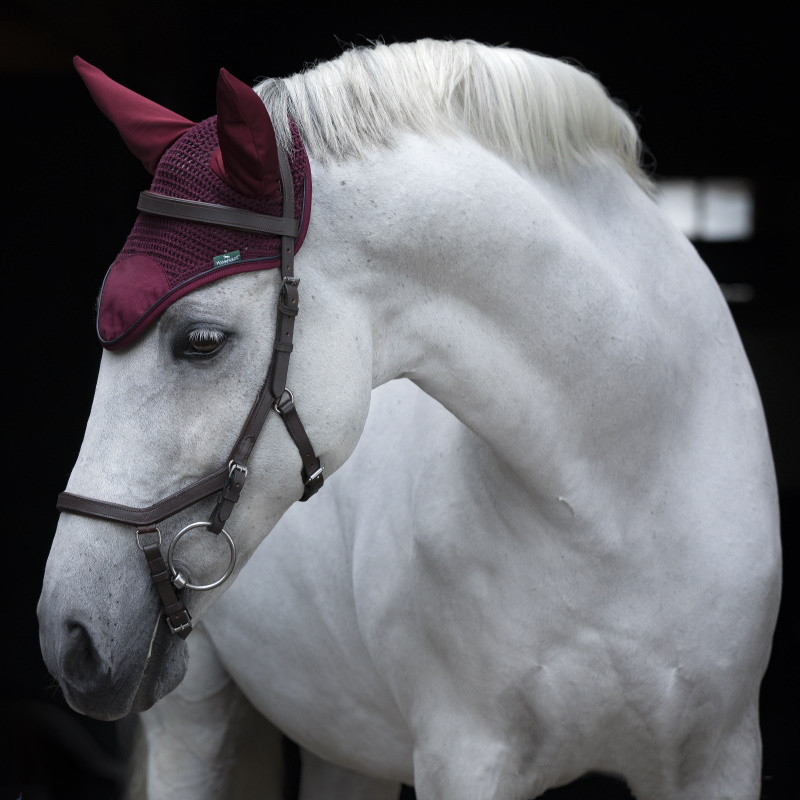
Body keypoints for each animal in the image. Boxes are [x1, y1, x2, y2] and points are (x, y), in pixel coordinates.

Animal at [38, 39, 781, 800]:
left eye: (201, 341)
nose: (70, 636)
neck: (615, 490)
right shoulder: (466, 756)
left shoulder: (720, 758)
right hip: (195, 723)